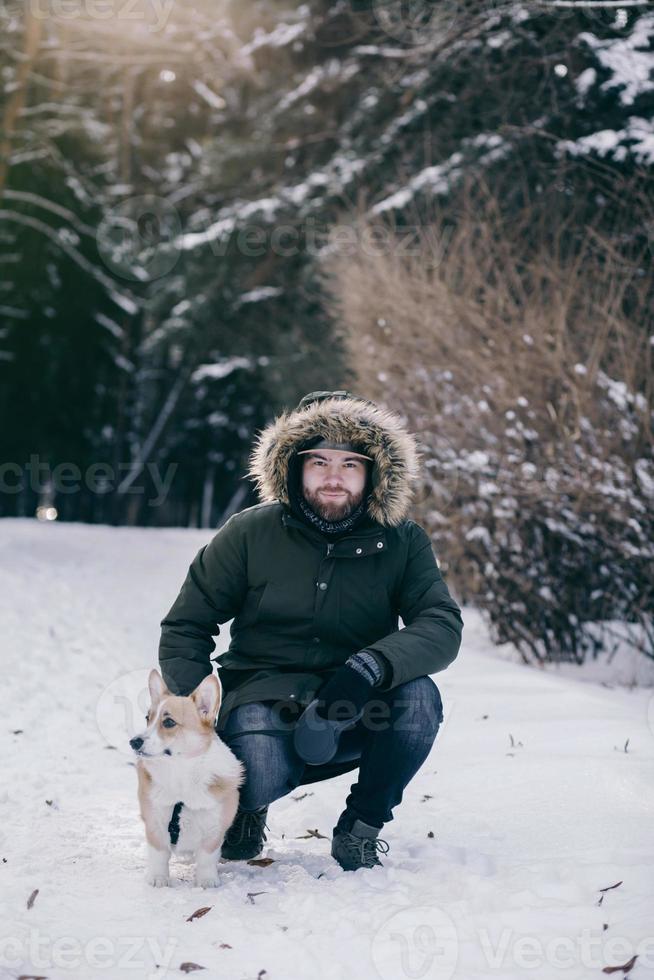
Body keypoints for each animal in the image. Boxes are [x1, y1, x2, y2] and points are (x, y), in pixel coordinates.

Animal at [129, 672, 245, 888]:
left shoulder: (214, 828)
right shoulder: (154, 823)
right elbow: (158, 855)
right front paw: (158, 878)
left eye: (168, 722)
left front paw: (206, 881)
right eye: (148, 718)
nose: (133, 742)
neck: (180, 772)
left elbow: (207, 857)